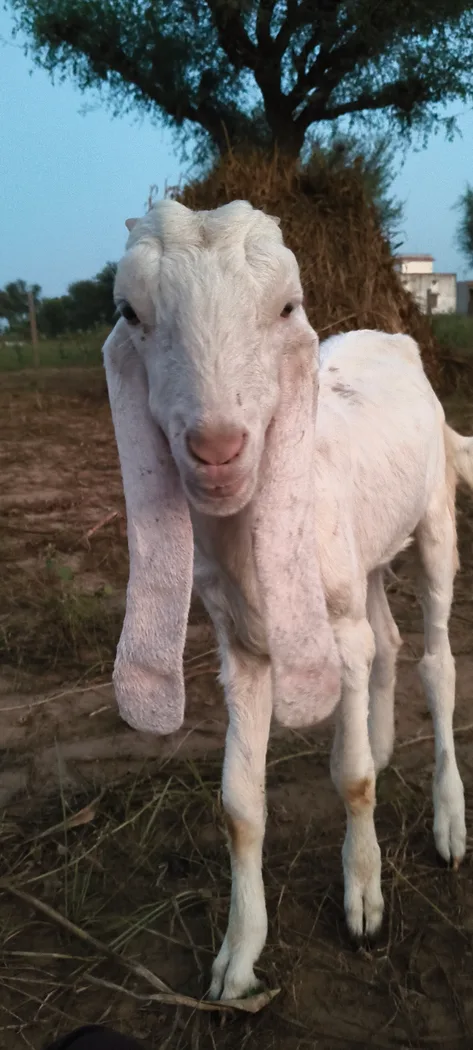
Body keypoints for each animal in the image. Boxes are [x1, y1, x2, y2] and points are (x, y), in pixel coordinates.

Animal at [103, 198, 472, 1002]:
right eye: (130, 313)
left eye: (286, 308)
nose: (217, 450)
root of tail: (392, 337)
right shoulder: (237, 645)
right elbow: (240, 809)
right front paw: (237, 958)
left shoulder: (331, 623)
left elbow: (352, 779)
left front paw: (363, 902)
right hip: (362, 555)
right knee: (386, 639)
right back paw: (383, 736)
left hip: (432, 517)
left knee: (436, 661)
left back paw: (449, 821)